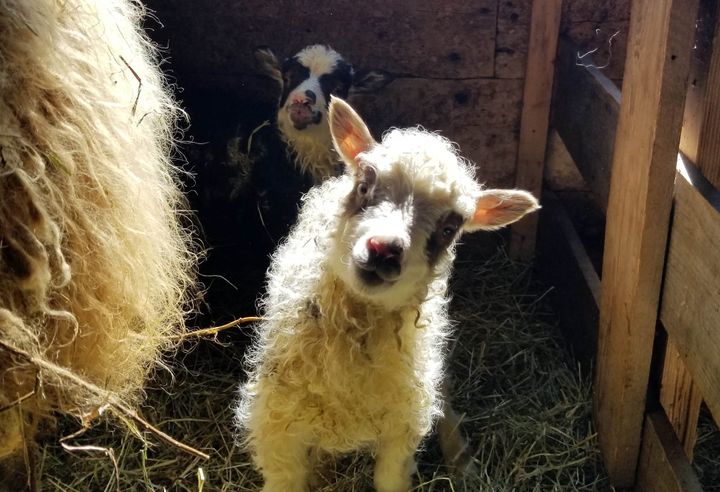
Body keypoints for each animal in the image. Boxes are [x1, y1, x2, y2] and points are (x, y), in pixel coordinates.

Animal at [235, 97, 540, 492]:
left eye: (450, 228)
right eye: (366, 185)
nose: (384, 250)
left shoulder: (401, 429)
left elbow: (390, 477)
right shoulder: (276, 426)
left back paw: (461, 461)